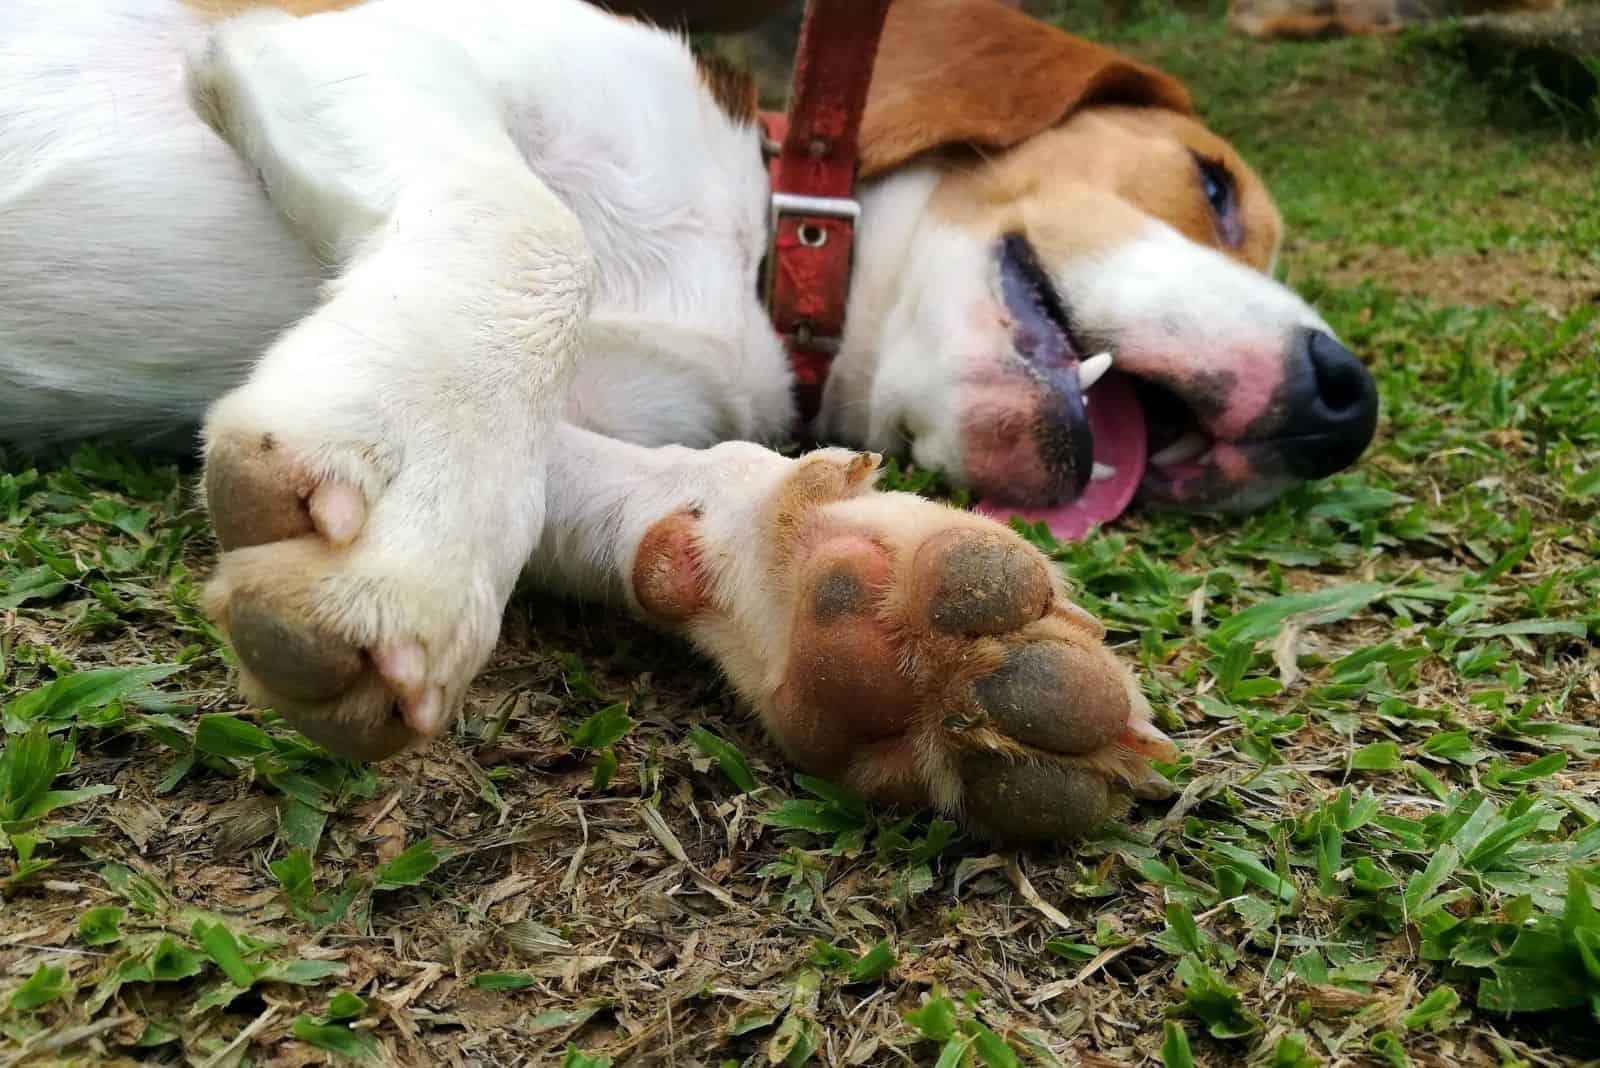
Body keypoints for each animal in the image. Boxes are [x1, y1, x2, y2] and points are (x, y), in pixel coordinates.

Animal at [0, 0, 1376, 844]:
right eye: (1212, 187)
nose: (1343, 406)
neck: (759, 254)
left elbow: (633, 489)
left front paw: (847, 593)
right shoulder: (337, 40)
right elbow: (534, 232)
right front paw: (411, 495)